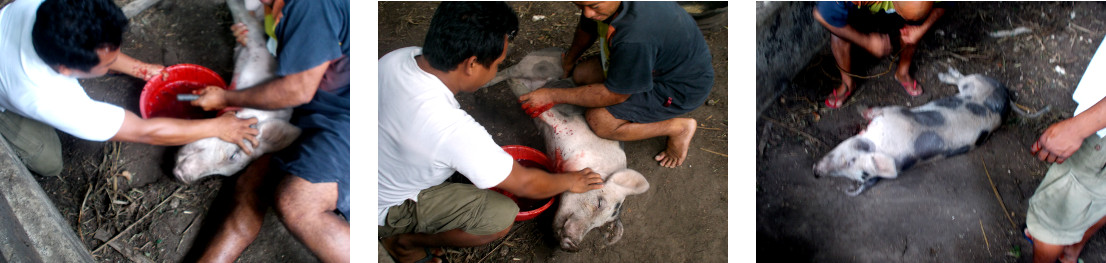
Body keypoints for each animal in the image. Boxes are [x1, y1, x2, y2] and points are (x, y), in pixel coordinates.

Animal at [486, 47, 645, 253]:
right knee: (508, 71)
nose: (573, 245)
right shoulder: (564, 123)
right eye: (599, 203)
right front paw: (526, 98)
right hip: (533, 64)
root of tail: (554, 50)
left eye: (599, 226)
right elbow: (545, 112)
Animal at [814, 67, 1013, 195]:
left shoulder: (894, 112)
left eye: (851, 162)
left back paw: (943, 73)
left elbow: (879, 109)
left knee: (963, 78)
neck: (881, 144)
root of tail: (1005, 97)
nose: (816, 173)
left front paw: (862, 109)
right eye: (858, 178)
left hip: (976, 82)